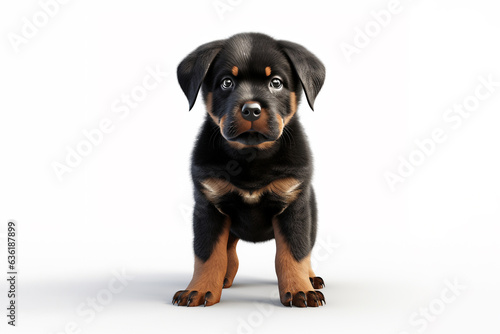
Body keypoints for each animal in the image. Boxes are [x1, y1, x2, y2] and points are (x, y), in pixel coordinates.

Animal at [172, 32, 326, 306]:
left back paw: (311, 279)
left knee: (306, 249)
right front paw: (199, 289)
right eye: (226, 83)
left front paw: (300, 290)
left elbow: (293, 253)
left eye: (276, 82)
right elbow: (207, 254)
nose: (252, 110)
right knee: (228, 250)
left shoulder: (294, 207)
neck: (251, 158)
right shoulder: (208, 207)